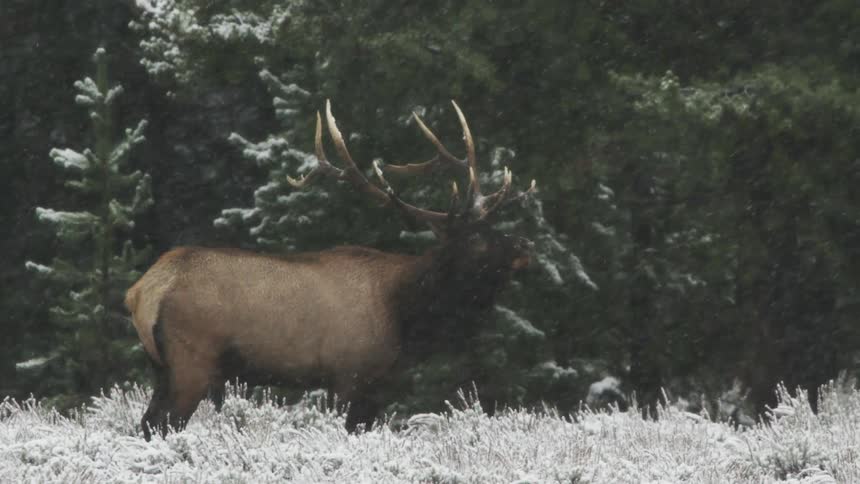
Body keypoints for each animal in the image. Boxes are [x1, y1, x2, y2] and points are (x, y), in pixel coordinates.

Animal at [125, 100, 536, 440]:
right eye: (477, 236)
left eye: (496, 226)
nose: (526, 246)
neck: (406, 316)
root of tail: (144, 290)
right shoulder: (348, 374)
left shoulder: (379, 385)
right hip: (191, 361)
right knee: (162, 423)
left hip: (160, 366)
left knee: (146, 423)